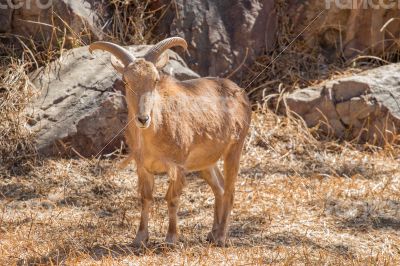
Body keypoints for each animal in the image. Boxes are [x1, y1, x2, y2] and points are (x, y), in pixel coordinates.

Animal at [89, 37, 252, 247]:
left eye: (155, 80)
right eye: (126, 80)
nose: (143, 119)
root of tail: (241, 93)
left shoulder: (178, 167)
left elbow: (172, 199)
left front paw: (171, 238)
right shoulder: (143, 167)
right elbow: (145, 198)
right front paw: (140, 238)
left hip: (235, 149)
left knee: (230, 191)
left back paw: (221, 238)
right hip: (205, 162)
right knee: (220, 188)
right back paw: (212, 233)